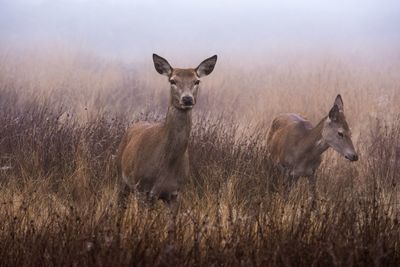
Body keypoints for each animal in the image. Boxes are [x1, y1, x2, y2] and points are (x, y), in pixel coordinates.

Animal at [117, 54, 217, 209]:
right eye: (172, 80)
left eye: (197, 81)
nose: (187, 99)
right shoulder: (143, 189)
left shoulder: (175, 193)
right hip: (120, 177)